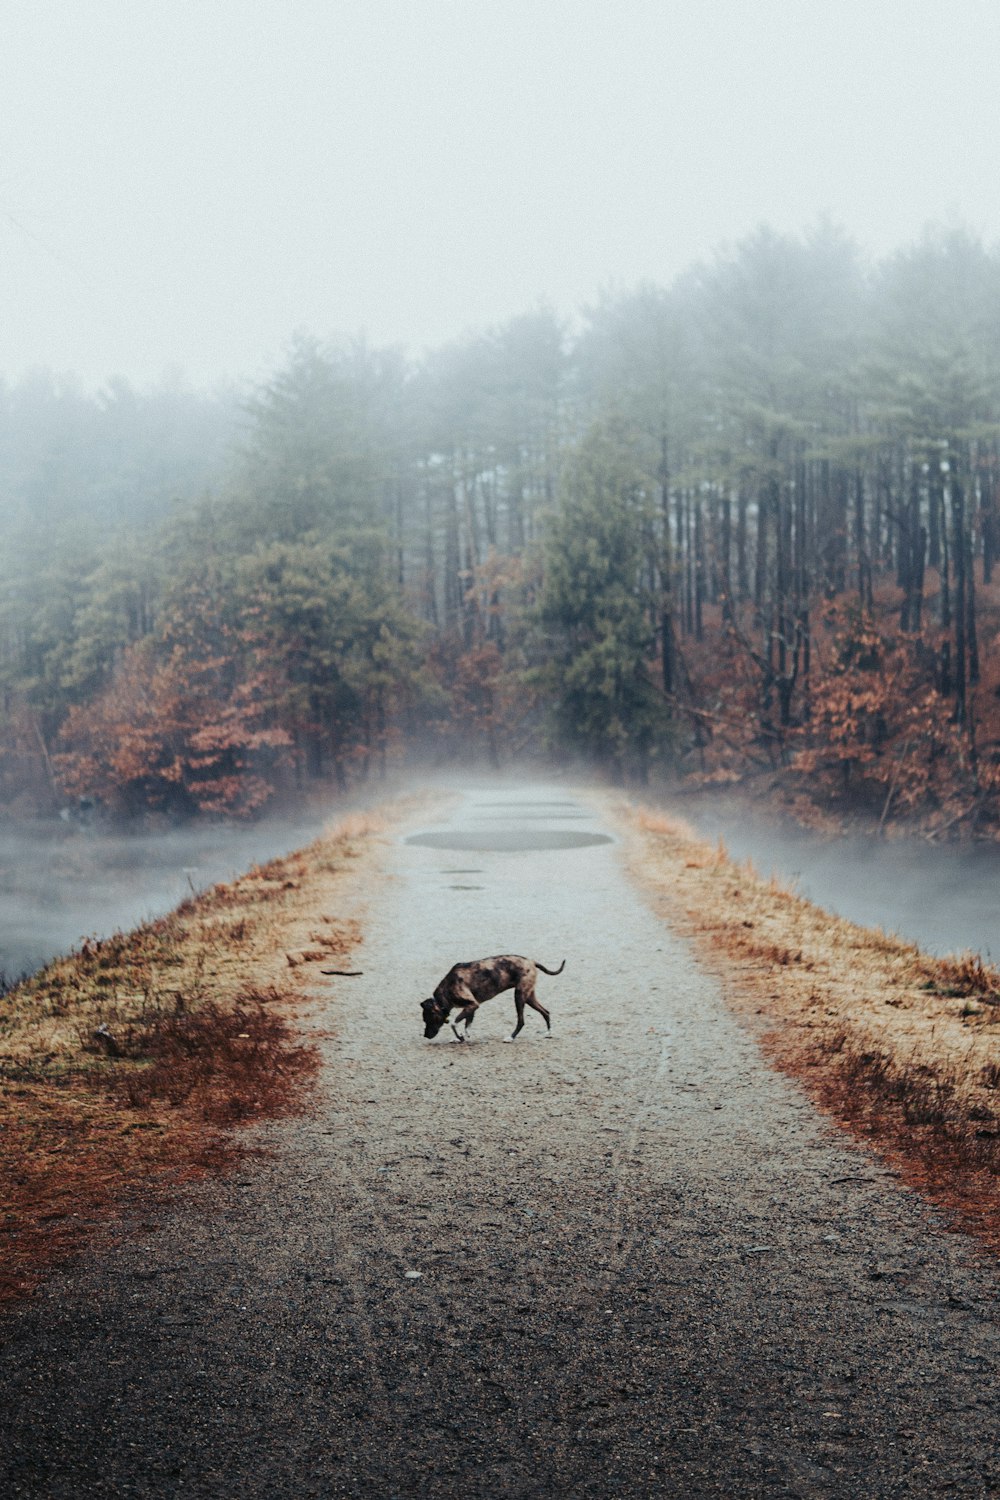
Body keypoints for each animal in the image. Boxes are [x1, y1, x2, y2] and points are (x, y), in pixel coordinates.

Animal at [419, 960, 566, 1044]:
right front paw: (461, 1037)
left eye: (427, 1020)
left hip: (519, 997)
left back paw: (511, 1037)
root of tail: (532, 961)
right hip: (529, 997)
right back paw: (548, 1033)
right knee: (546, 1012)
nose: (425, 1036)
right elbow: (467, 1025)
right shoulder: (471, 1007)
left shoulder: (472, 1005)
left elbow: (454, 1024)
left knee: (521, 1021)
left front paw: (459, 1036)